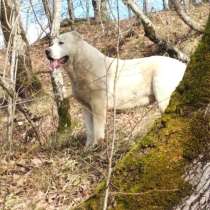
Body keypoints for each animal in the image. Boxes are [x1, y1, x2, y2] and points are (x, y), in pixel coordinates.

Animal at [45, 31, 186, 147]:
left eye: (61, 43)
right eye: (52, 44)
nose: (46, 51)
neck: (81, 66)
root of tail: (182, 64)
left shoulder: (98, 104)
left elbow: (97, 129)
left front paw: (97, 146)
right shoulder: (85, 107)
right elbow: (89, 130)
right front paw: (88, 148)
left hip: (163, 93)